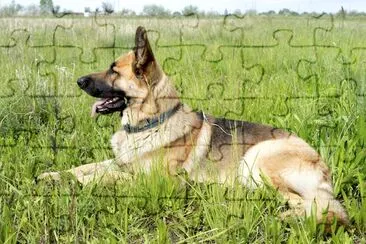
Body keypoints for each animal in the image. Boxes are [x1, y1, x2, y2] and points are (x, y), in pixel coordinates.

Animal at [39, 26, 348, 225]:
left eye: (113, 71)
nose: (78, 81)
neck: (150, 122)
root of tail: (323, 166)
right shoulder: (121, 162)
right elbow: (84, 167)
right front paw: (52, 175)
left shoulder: (152, 180)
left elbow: (105, 178)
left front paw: (76, 184)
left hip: (258, 157)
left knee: (310, 205)